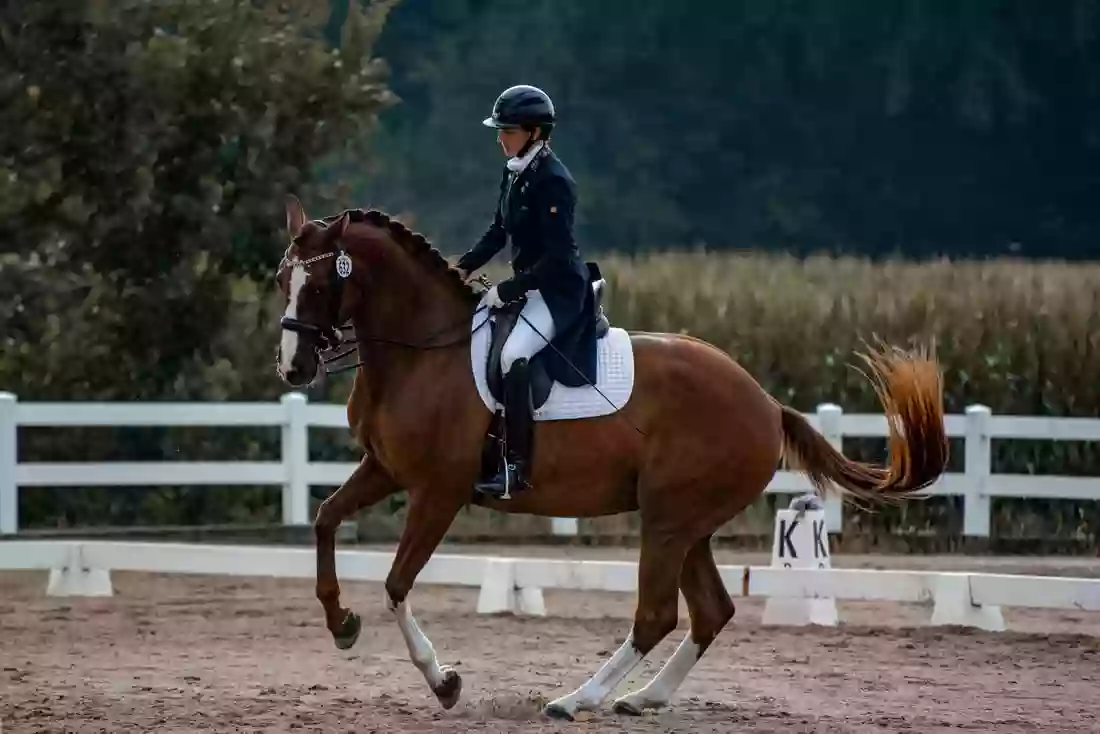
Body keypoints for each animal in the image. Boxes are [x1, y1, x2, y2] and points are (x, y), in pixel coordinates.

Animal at [270, 196, 950, 721]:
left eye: (322, 284)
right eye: (282, 280)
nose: (293, 368)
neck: (422, 351)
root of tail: (765, 401)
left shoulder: (438, 491)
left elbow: (396, 583)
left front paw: (444, 682)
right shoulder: (386, 469)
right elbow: (325, 521)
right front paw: (341, 623)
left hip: (669, 519)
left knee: (656, 615)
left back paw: (577, 700)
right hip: (687, 524)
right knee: (710, 611)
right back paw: (642, 699)